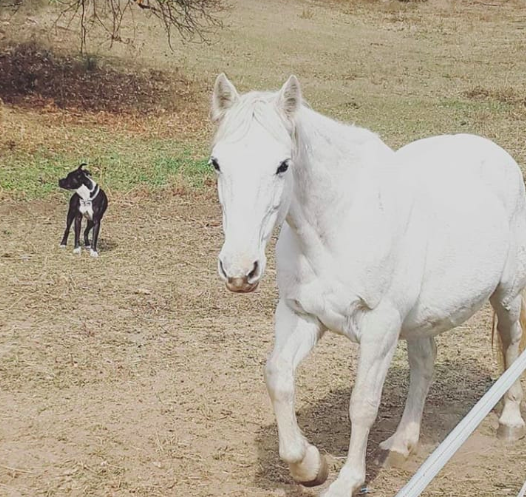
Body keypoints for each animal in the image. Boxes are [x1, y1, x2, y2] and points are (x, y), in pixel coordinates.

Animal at [210, 74, 526, 496]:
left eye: (282, 165)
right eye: (216, 163)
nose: (239, 270)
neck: (339, 226)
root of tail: (495, 153)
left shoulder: (379, 326)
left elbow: (363, 403)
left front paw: (346, 481)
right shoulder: (301, 315)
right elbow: (277, 376)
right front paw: (310, 466)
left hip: (506, 295)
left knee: (510, 344)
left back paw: (509, 422)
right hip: (421, 320)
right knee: (425, 364)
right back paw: (401, 444)